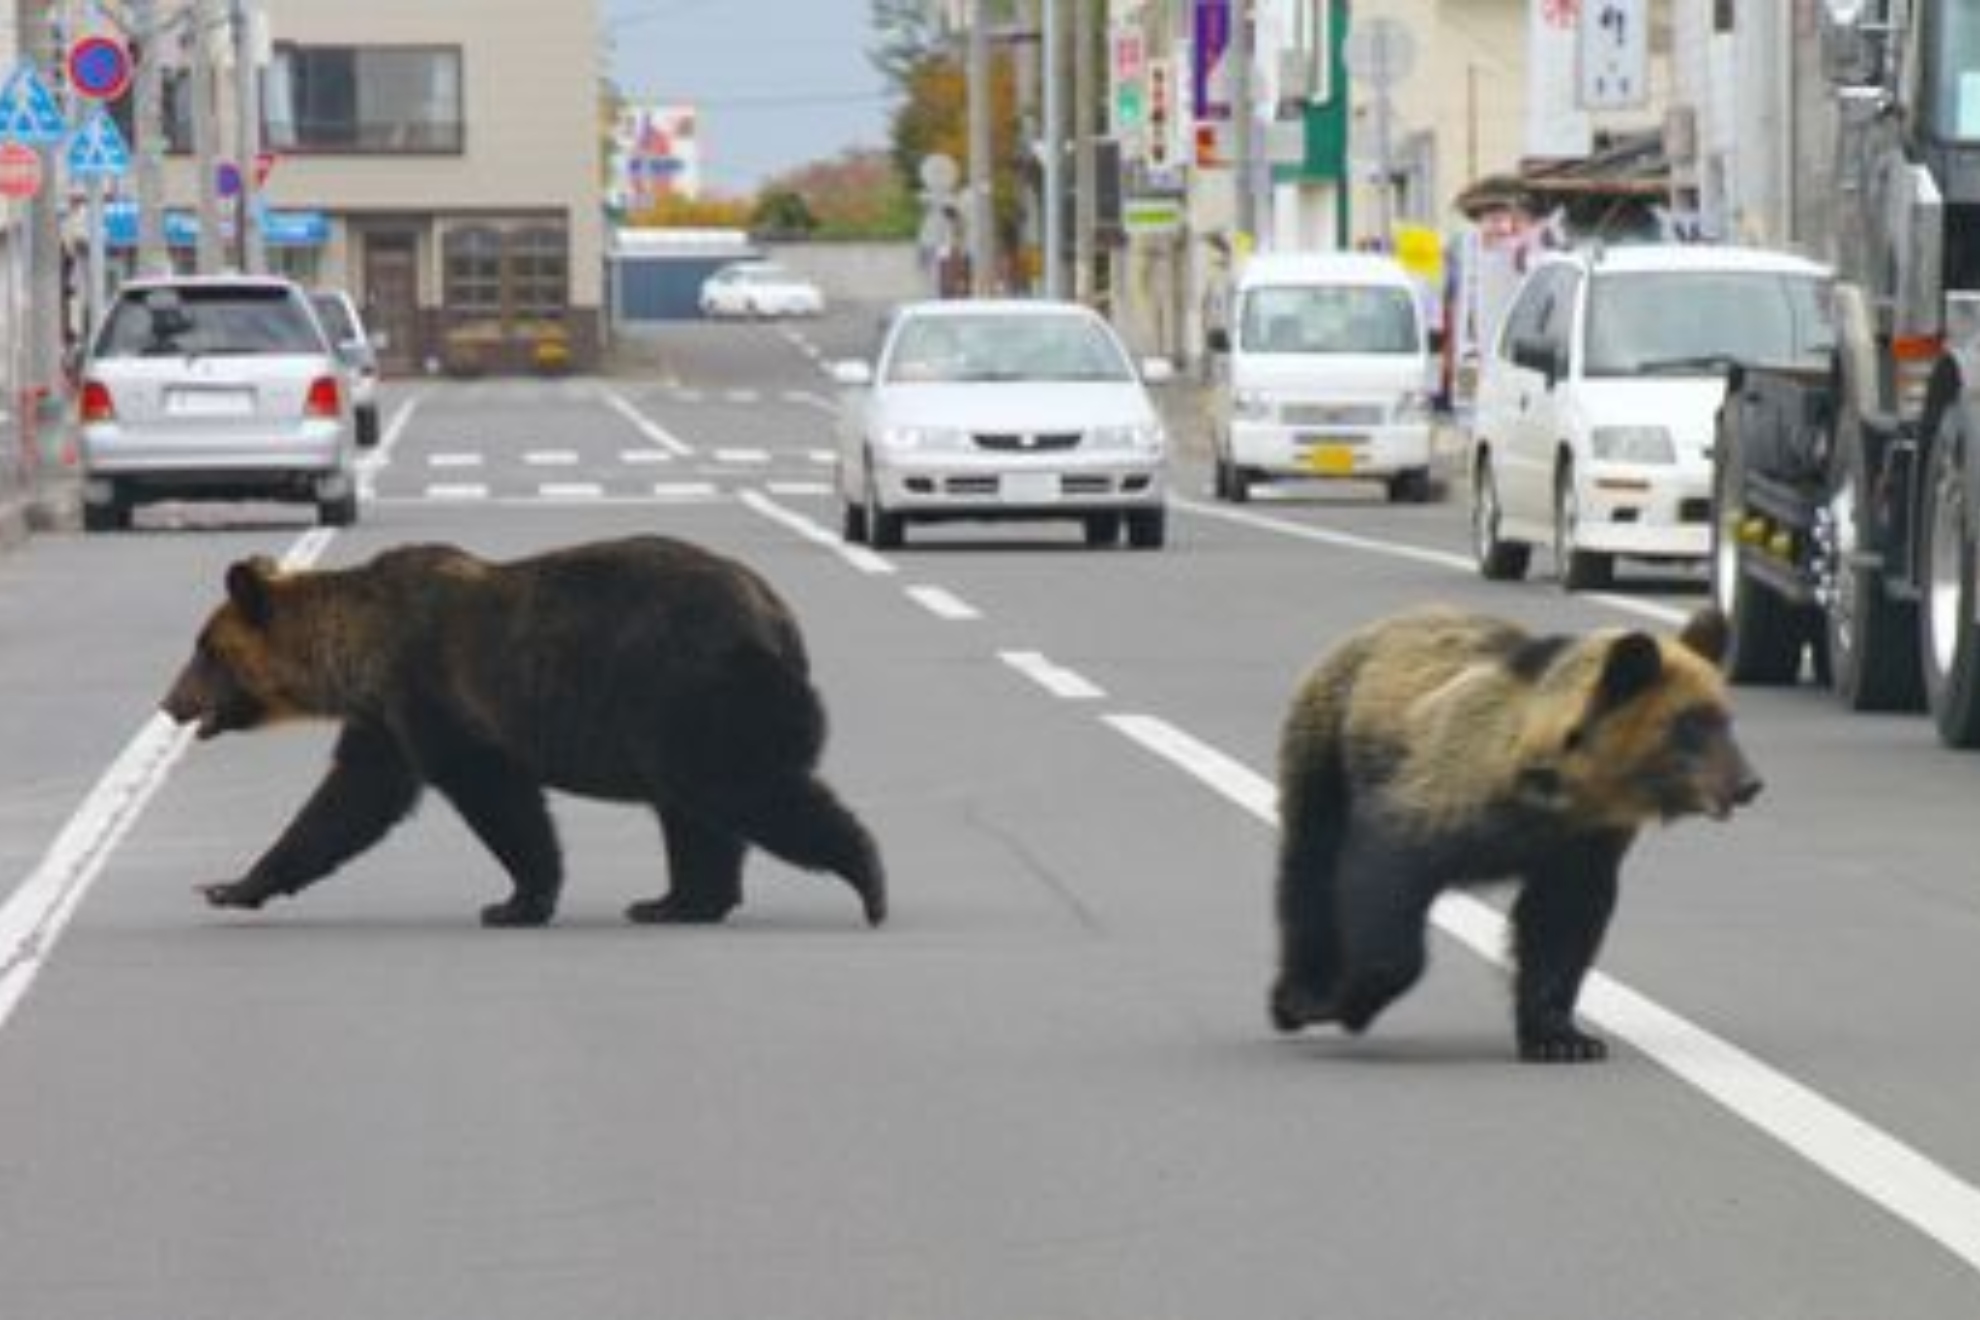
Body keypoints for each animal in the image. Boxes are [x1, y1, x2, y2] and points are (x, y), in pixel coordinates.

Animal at [161, 535, 886, 928]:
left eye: (205, 651)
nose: (170, 703)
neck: (358, 653)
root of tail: (780, 618)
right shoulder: (386, 718)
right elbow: (347, 803)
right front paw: (233, 885)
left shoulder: (433, 692)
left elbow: (495, 796)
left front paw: (516, 900)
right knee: (693, 811)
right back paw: (676, 900)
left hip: (692, 690)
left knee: (741, 789)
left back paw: (867, 880)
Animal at [1269, 605, 1760, 1062]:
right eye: (1690, 723)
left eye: (1726, 718)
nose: (1748, 784)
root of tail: (1378, 626)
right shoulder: (1438, 795)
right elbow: (1383, 879)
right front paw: (1346, 1001)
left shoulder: (1581, 845)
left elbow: (1561, 926)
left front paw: (1563, 1038)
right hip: (1328, 746)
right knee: (1309, 865)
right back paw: (1296, 994)